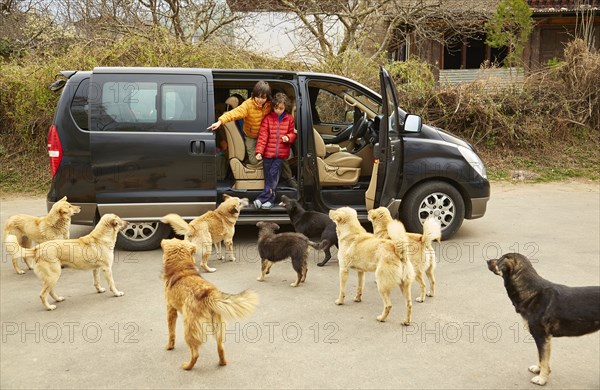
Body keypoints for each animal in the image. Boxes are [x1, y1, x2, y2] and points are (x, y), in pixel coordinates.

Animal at [162, 239, 258, 370]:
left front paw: (169, 346)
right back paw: (222, 363)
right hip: (218, 327)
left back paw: (187, 366)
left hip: (189, 329)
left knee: (195, 353)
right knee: (221, 348)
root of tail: (208, 293)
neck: (181, 268)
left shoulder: (170, 309)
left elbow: (171, 333)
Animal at [488, 253, 600, 386]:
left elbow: (543, 359)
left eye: (499, 259)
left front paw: (541, 379)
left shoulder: (541, 336)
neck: (532, 293)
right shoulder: (541, 338)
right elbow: (540, 357)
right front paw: (538, 369)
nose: (487, 261)